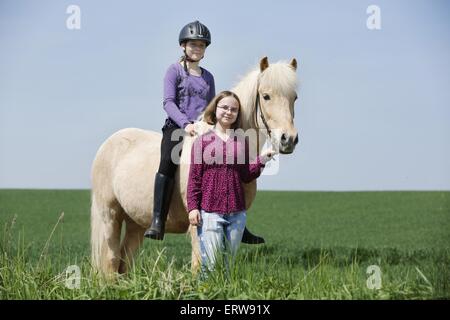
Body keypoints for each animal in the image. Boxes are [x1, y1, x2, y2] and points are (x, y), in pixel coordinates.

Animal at [90, 56, 298, 276]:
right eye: (266, 96)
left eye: (294, 97)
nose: (288, 139)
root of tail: (108, 144)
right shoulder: (197, 223)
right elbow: (199, 265)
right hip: (109, 216)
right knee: (111, 261)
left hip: (135, 222)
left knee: (124, 261)